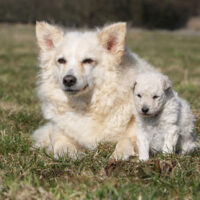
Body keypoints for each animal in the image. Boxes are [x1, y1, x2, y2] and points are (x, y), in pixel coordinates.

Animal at [32, 21, 156, 159]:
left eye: (88, 61)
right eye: (61, 61)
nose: (68, 80)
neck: (85, 104)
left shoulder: (139, 132)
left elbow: (126, 140)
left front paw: (119, 154)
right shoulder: (60, 131)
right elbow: (60, 144)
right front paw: (69, 154)